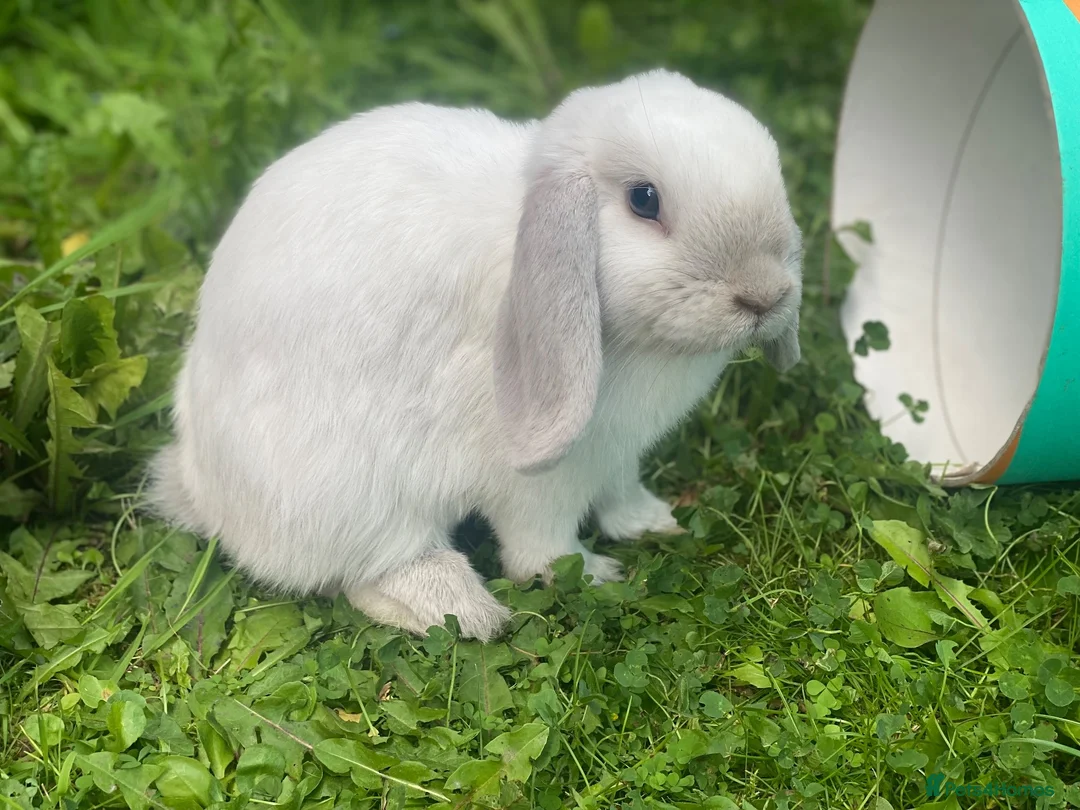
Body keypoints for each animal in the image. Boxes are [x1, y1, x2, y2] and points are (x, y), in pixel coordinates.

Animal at [147, 68, 803, 642]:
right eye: (644, 200)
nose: (765, 296)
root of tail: (202, 488)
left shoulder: (616, 454)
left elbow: (620, 493)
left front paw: (653, 522)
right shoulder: (543, 480)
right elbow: (540, 548)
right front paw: (593, 573)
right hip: (351, 497)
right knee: (362, 573)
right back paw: (463, 608)